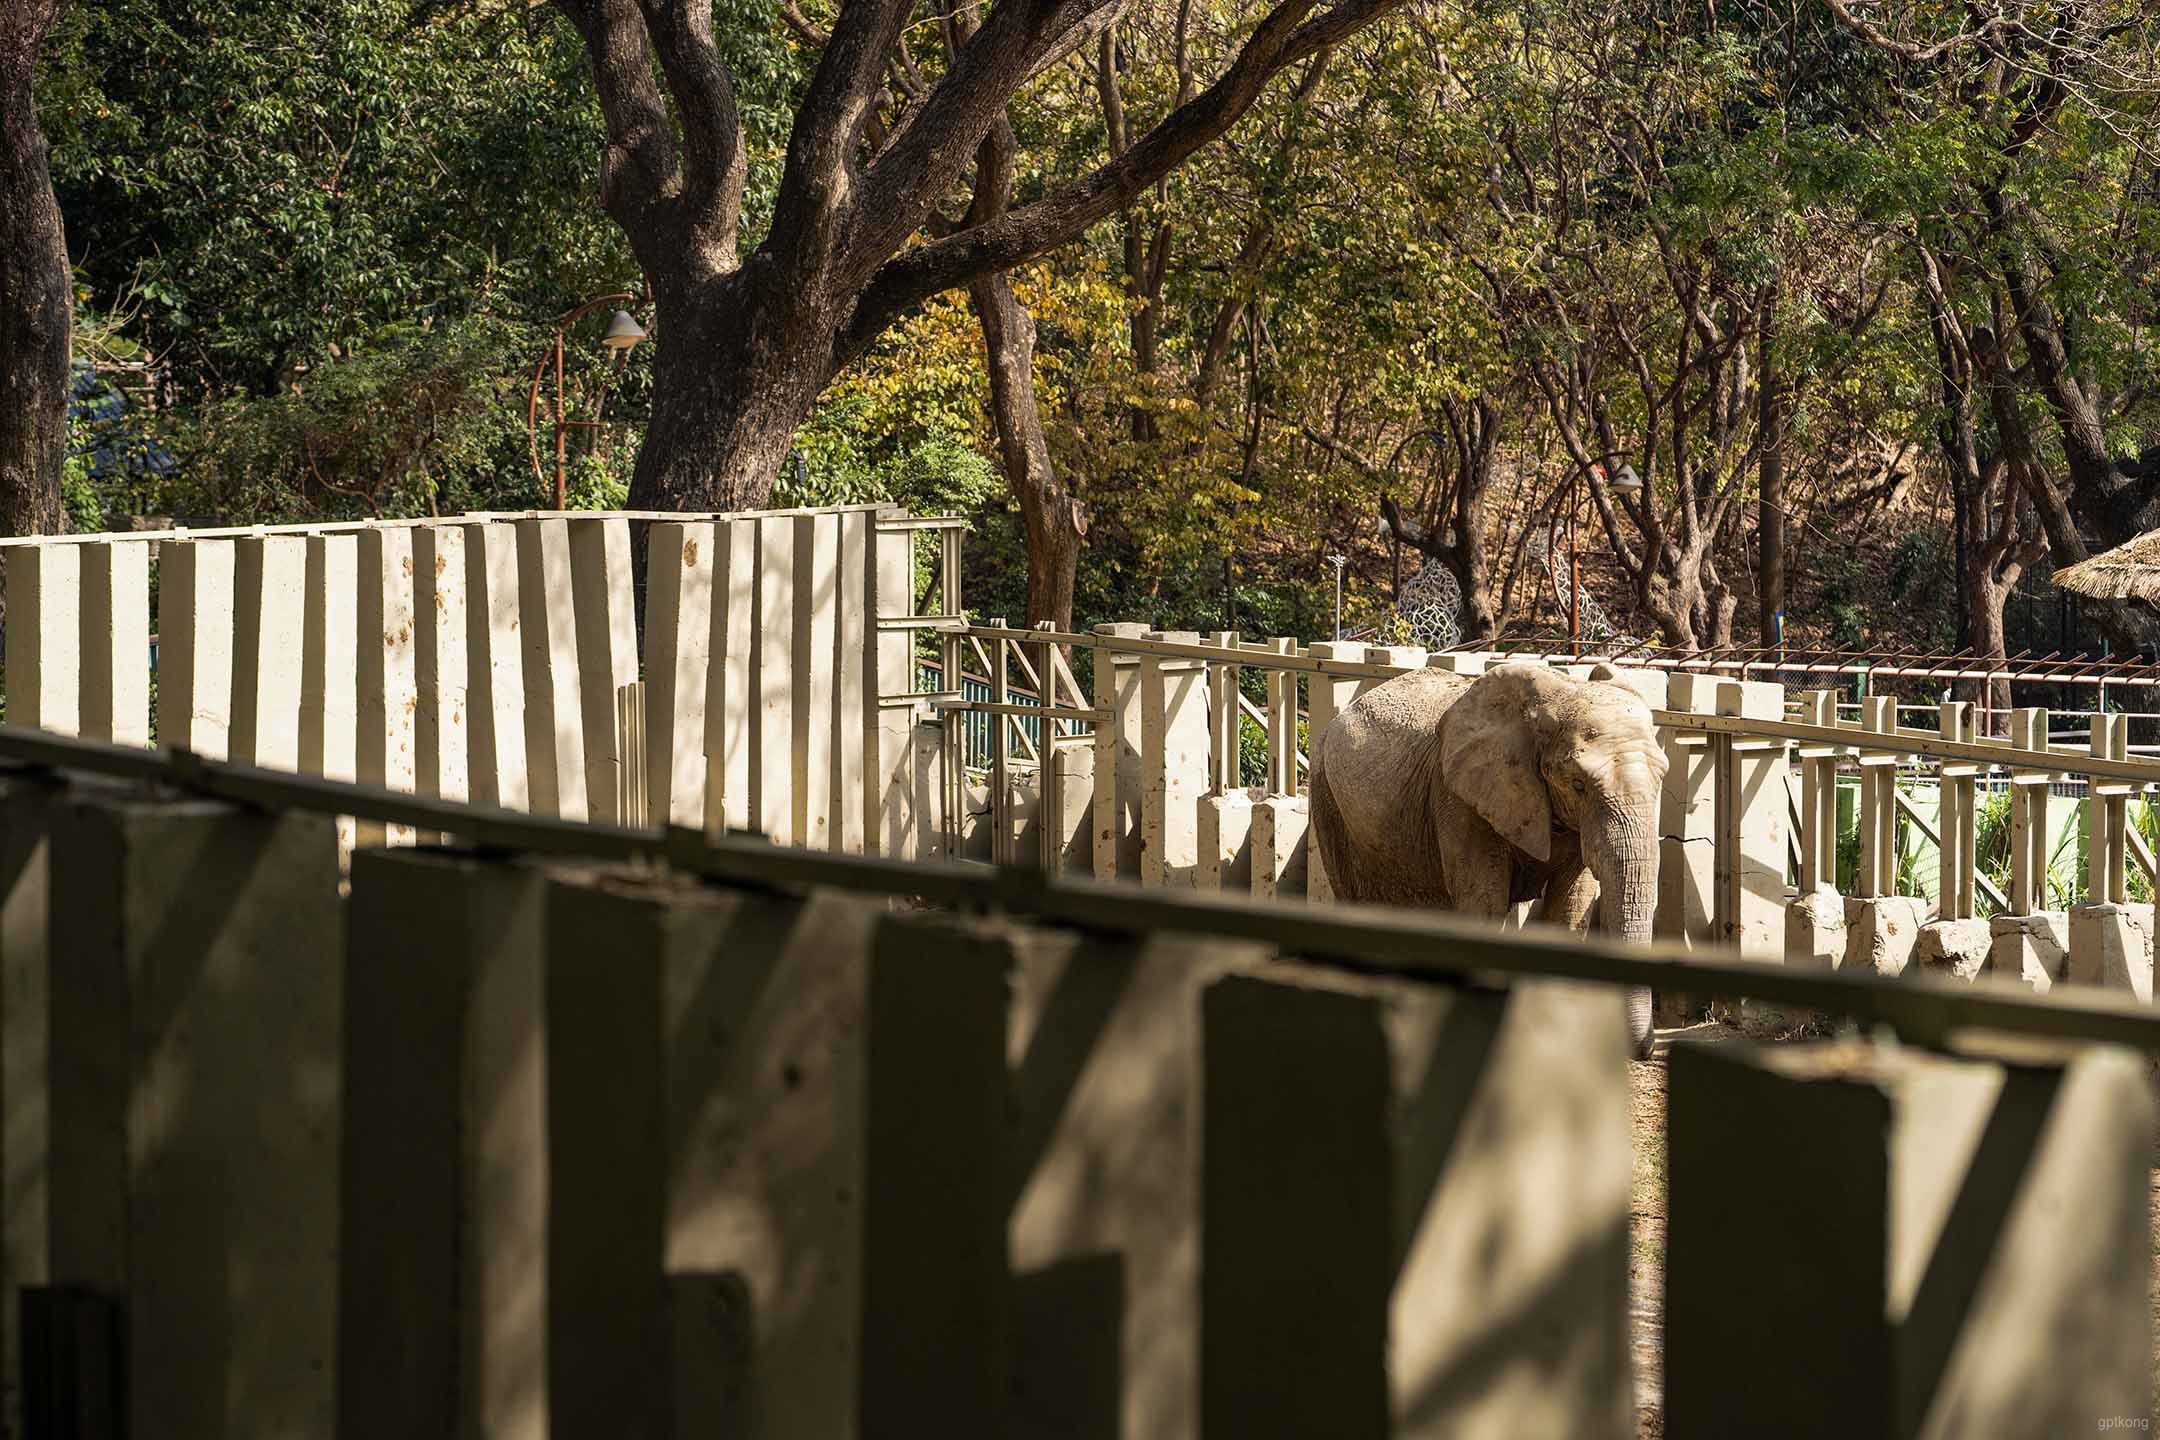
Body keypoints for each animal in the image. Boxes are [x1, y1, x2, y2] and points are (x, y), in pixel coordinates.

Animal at [1296, 660, 1667, 1053]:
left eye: (1662, 777)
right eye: (1578, 785)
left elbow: (1569, 905)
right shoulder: (1458, 796)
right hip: (1326, 796)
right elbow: (1484, 903)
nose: (1643, 1048)